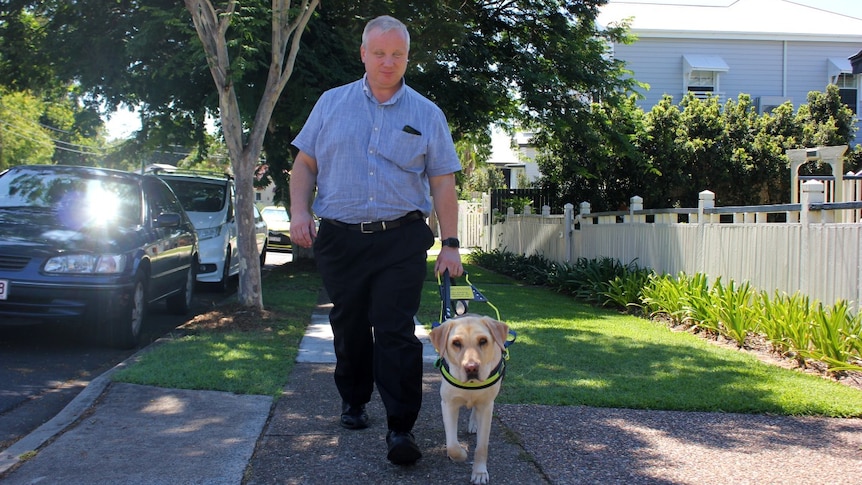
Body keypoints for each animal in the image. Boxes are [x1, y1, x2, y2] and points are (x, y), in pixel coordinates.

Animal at [428, 312, 510, 482]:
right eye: (456, 343)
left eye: (483, 341)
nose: (471, 368)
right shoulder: (448, 404)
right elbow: (452, 445)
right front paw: (461, 454)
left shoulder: (486, 407)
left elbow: (482, 446)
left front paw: (479, 472)